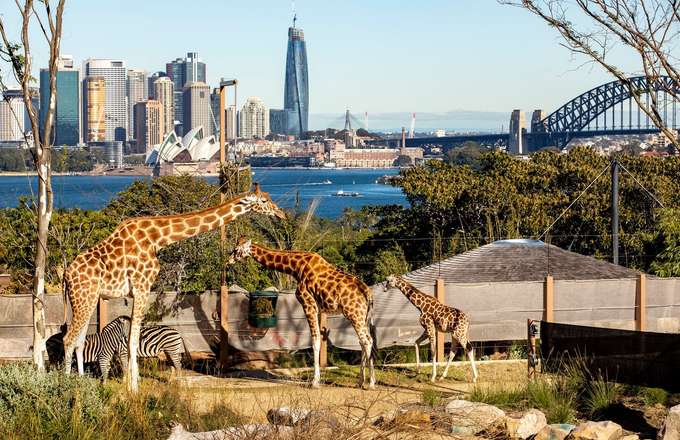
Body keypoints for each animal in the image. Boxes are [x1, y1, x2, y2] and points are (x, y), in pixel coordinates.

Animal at [62, 184, 285, 392]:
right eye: (264, 201)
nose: (281, 213)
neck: (157, 238)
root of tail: (66, 275)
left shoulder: (137, 291)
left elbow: (130, 339)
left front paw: (132, 385)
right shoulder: (142, 286)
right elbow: (132, 340)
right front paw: (134, 389)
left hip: (88, 299)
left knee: (79, 340)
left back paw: (80, 384)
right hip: (84, 298)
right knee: (68, 339)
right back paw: (66, 388)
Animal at [228, 237, 376, 389]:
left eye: (236, 249)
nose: (229, 261)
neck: (295, 267)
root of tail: (368, 294)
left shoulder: (307, 303)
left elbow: (315, 341)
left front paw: (314, 382)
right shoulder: (317, 307)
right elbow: (318, 338)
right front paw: (316, 380)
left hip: (354, 314)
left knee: (367, 341)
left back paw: (371, 383)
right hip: (363, 316)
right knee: (364, 341)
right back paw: (360, 382)